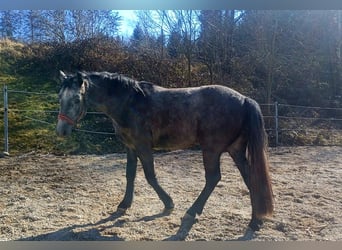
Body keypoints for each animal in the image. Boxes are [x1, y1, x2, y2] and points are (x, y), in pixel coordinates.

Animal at [56, 71, 276, 239]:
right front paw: (124, 205)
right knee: (251, 179)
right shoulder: (130, 147)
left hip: (212, 149)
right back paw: (256, 222)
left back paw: (191, 213)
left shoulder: (143, 146)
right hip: (235, 150)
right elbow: (130, 175)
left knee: (213, 178)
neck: (129, 102)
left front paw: (168, 204)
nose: (61, 131)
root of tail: (244, 99)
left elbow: (150, 176)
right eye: (60, 97)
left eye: (76, 99)